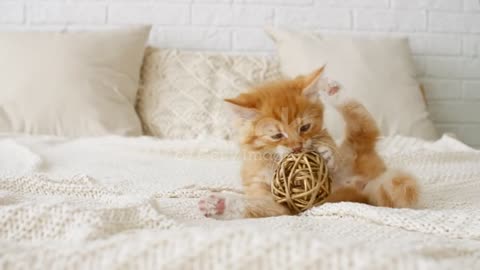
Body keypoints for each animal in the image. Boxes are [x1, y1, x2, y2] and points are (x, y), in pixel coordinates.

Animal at [197, 67, 418, 219]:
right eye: (277, 136)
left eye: (304, 128)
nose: (297, 148)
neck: (273, 162)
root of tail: (371, 175)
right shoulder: (276, 201)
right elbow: (258, 205)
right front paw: (219, 205)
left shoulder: (323, 134)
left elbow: (325, 139)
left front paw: (325, 151)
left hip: (353, 148)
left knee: (362, 122)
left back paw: (333, 90)